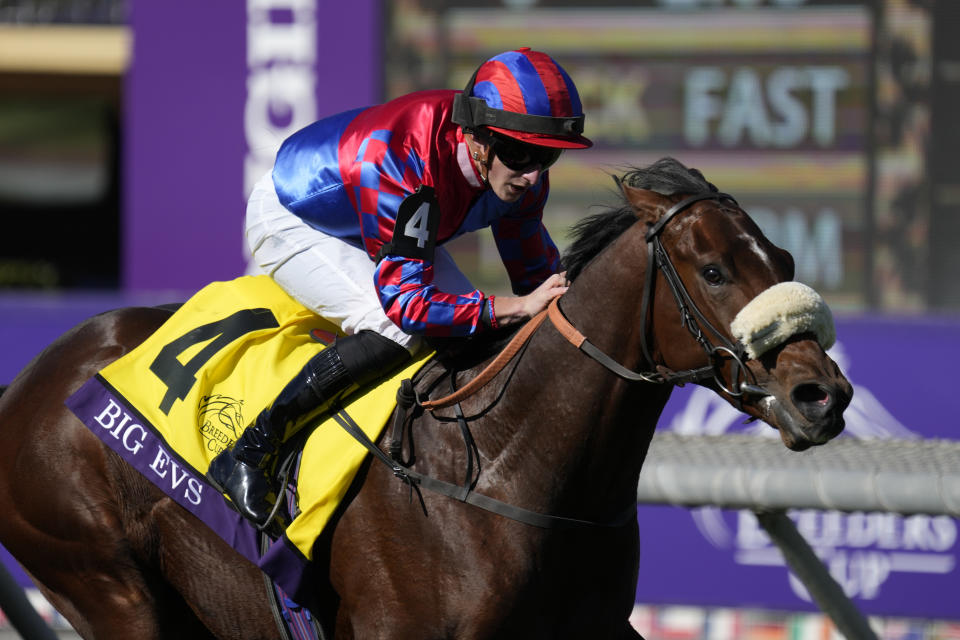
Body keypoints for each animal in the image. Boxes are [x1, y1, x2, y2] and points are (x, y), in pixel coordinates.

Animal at [0, 158, 856, 636]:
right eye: (713, 269)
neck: (510, 465)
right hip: (105, 582)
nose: (823, 394)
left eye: (783, 259)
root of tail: (30, 379)